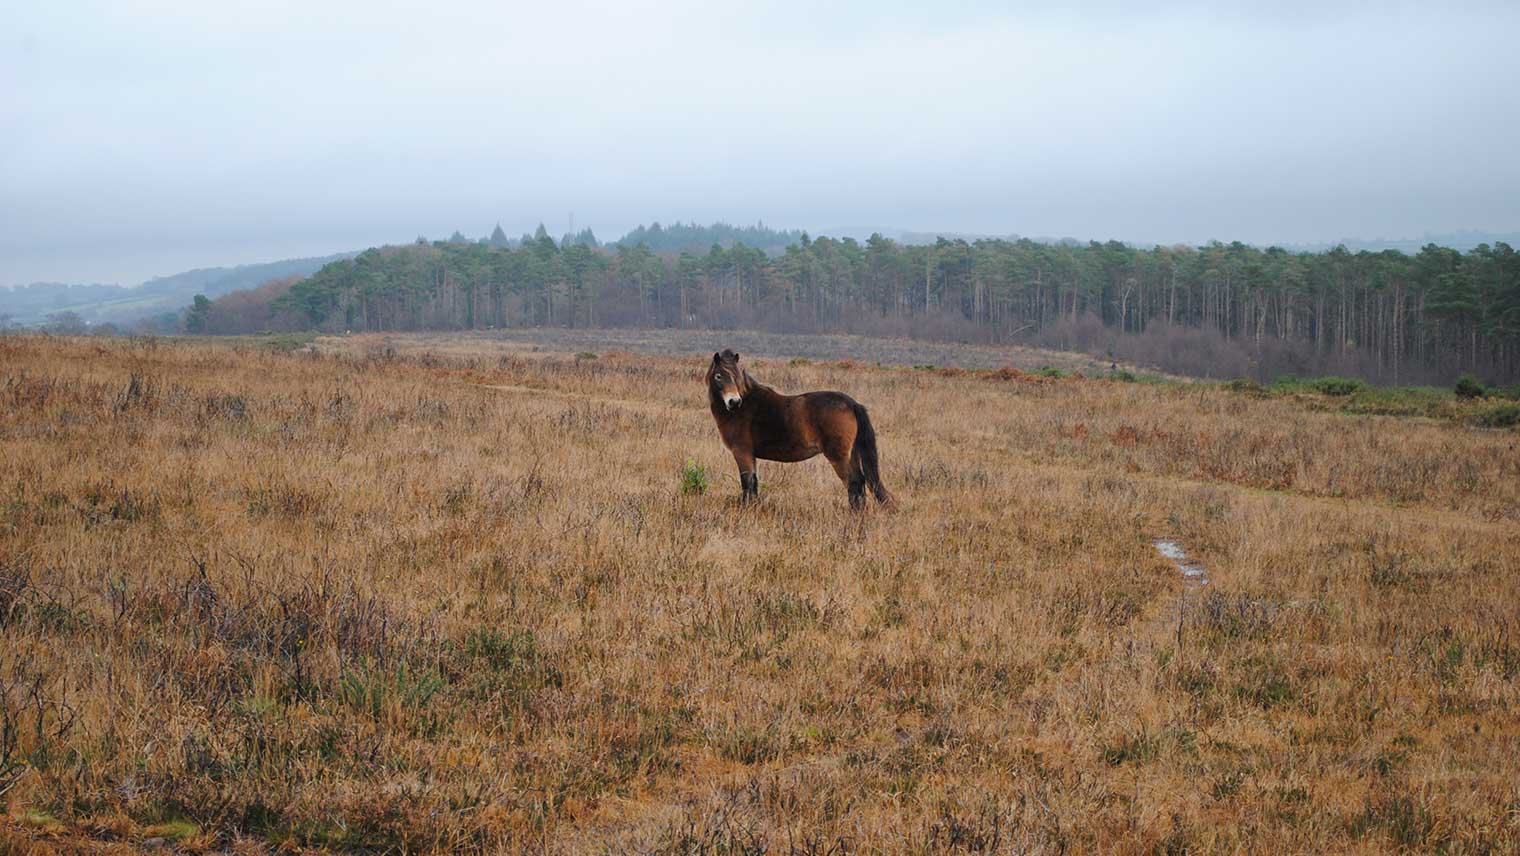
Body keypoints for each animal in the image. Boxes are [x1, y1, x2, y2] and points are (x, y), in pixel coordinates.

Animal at [705, 349, 894, 510]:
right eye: (719, 376)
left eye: (736, 376)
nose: (734, 402)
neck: (744, 408)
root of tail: (851, 404)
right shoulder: (750, 455)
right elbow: (753, 484)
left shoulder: (742, 452)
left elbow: (747, 483)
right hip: (851, 454)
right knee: (860, 482)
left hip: (838, 456)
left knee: (854, 483)